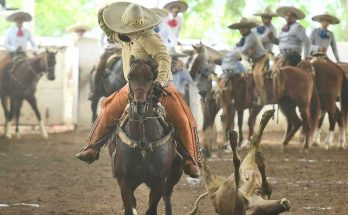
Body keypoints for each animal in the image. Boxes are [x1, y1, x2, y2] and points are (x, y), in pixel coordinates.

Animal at [108, 58, 185, 214]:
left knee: (167, 194)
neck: (142, 141)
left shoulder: (158, 183)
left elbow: (151, 209)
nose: (139, 105)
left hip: (176, 172)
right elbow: (130, 207)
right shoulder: (124, 183)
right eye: (130, 77)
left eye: (150, 78)